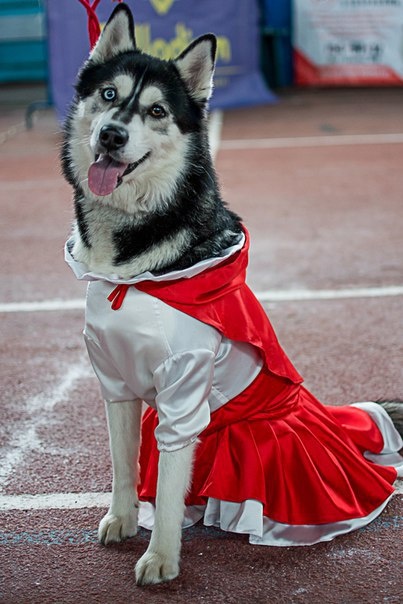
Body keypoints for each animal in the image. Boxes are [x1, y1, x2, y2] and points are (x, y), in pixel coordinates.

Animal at [62, 3, 403, 586]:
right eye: (109, 95)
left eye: (156, 110)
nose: (110, 136)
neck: (132, 269)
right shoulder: (116, 383)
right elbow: (124, 465)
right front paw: (123, 519)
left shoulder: (183, 392)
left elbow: (169, 492)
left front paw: (161, 557)